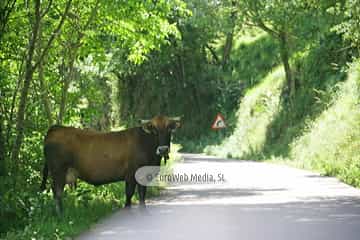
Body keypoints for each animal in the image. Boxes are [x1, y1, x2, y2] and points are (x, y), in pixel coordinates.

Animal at [39, 115, 181, 215]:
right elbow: (129, 195)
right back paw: (60, 214)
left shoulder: (143, 176)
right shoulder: (131, 175)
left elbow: (142, 194)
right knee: (57, 192)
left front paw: (143, 211)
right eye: (154, 130)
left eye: (169, 129)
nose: (163, 149)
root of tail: (56, 128)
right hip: (58, 171)